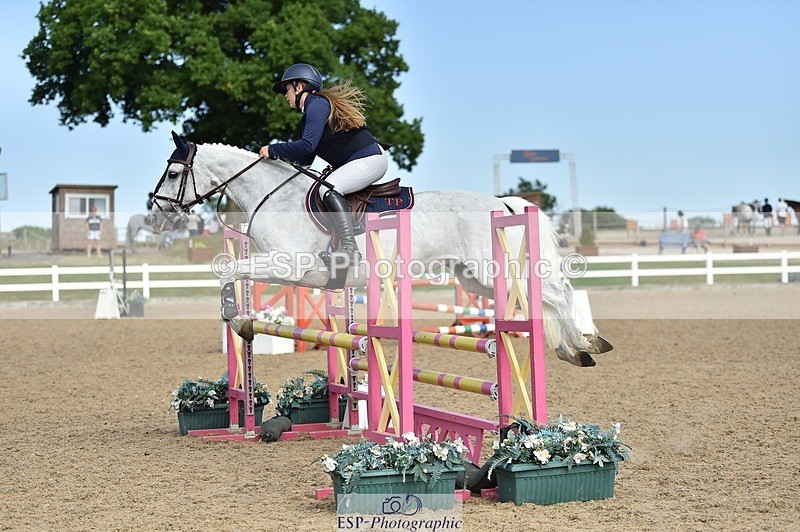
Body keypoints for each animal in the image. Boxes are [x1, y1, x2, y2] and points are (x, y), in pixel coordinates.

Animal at [149, 133, 612, 367]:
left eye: (172, 172)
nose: (155, 215)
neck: (273, 195)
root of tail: (504, 203)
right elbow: (231, 269)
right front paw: (243, 322)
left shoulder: (290, 267)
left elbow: (228, 270)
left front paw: (237, 319)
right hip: (475, 278)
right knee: (542, 299)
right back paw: (570, 349)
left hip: (491, 270)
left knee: (558, 294)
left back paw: (585, 345)